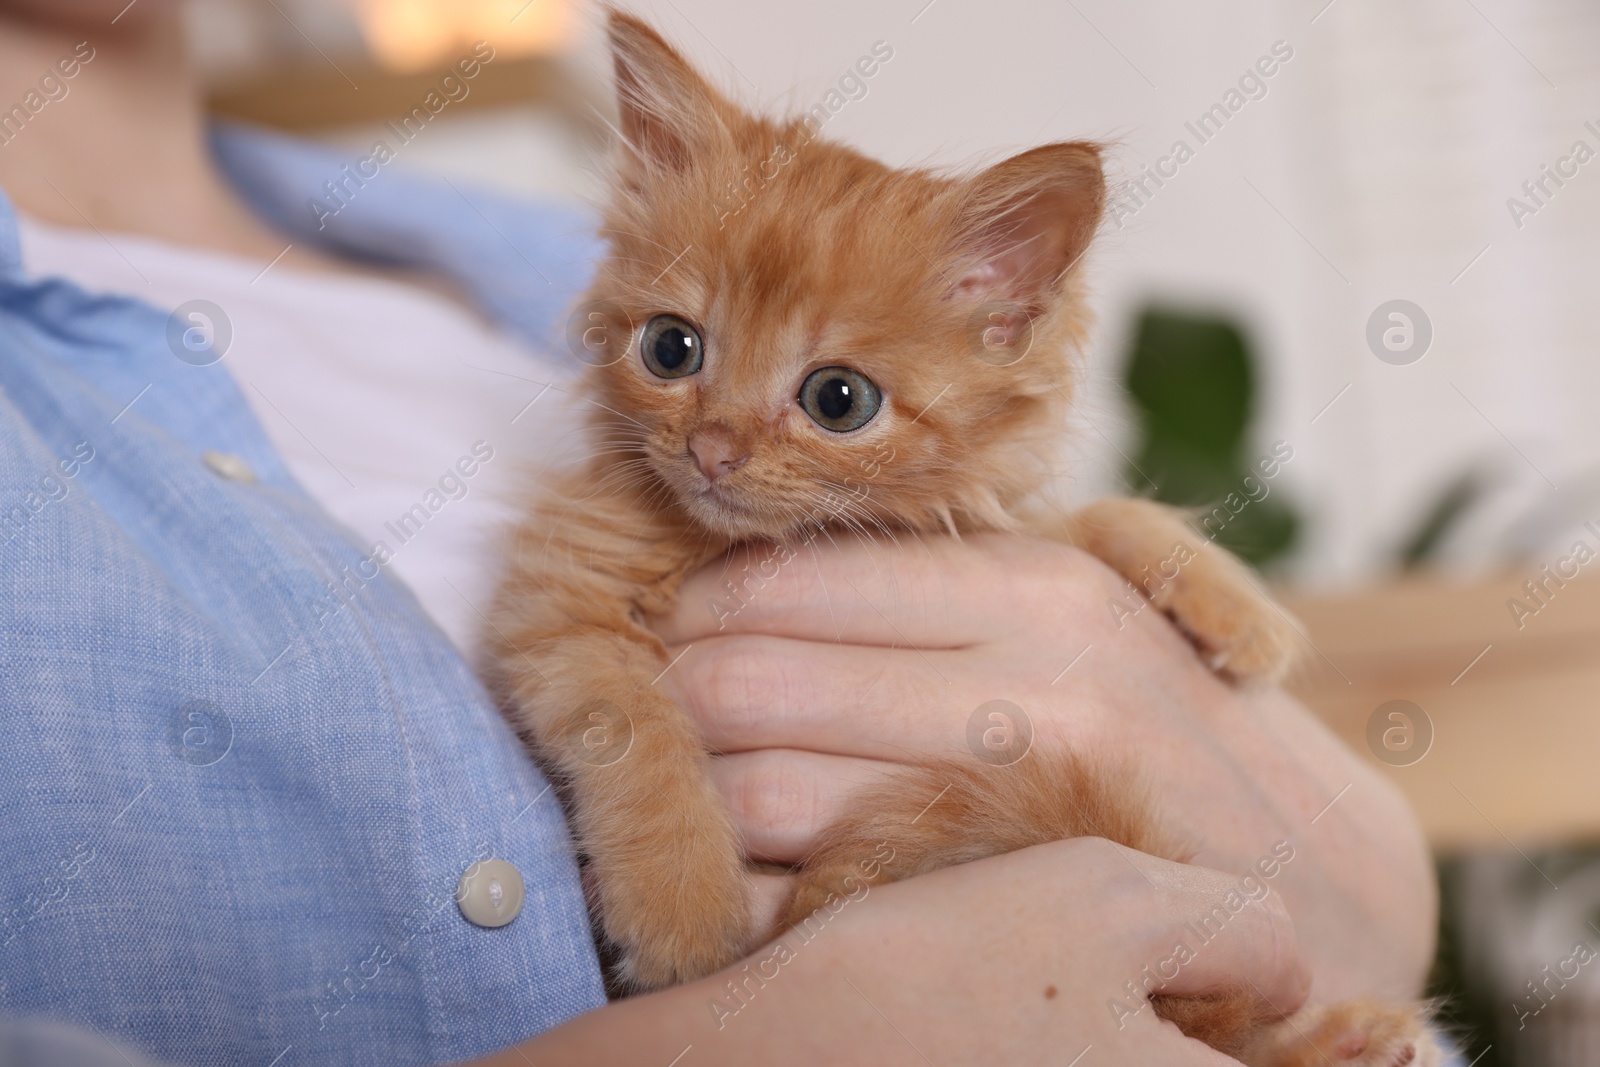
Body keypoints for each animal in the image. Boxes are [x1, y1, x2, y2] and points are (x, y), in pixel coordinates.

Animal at [483, 12, 1440, 1062]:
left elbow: (1082, 516)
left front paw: (1232, 606)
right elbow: (640, 732)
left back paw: (1349, 1035)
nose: (712, 448)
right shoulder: (560, 597)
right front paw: (681, 907)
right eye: (669, 347)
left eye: (838, 399)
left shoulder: (985, 512)